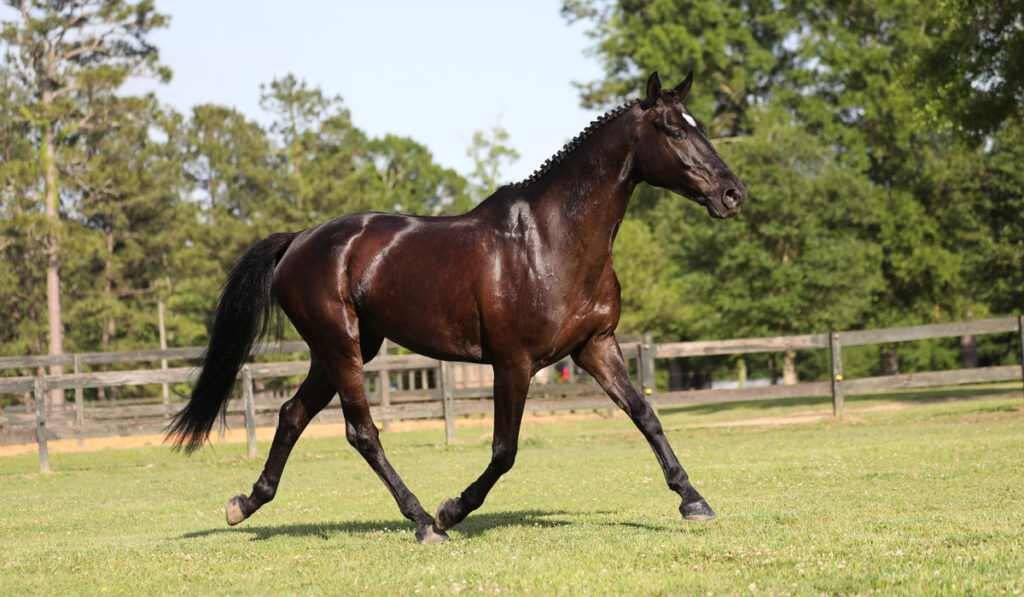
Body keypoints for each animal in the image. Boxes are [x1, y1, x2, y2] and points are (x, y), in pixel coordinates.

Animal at [165, 72, 745, 544]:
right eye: (674, 131)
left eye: (699, 126)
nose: (733, 194)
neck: (553, 240)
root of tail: (297, 242)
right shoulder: (513, 363)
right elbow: (504, 451)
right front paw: (452, 510)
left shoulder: (594, 346)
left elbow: (645, 414)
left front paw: (694, 501)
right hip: (340, 346)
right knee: (361, 433)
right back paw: (424, 522)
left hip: (342, 350)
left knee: (292, 415)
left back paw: (245, 503)